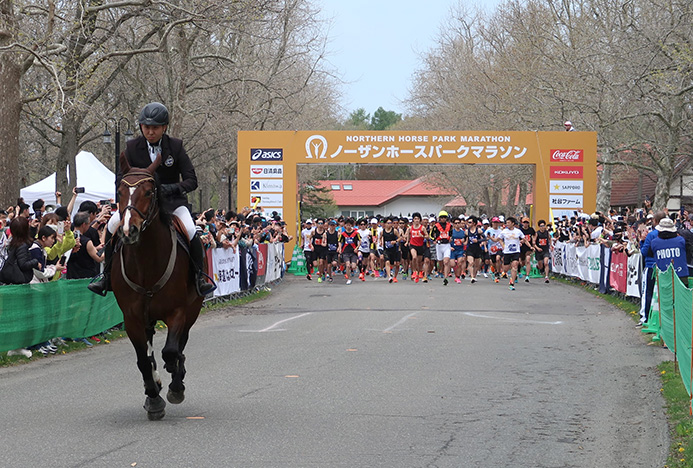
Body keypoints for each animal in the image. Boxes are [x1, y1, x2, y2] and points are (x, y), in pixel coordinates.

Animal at [112, 153, 204, 420]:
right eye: (119, 191)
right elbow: (144, 360)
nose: (128, 230)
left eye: (149, 192)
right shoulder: (132, 317)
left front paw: (175, 387)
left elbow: (171, 352)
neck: (146, 261)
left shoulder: (178, 312)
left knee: (179, 345)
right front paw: (153, 398)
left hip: (192, 309)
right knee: (151, 350)